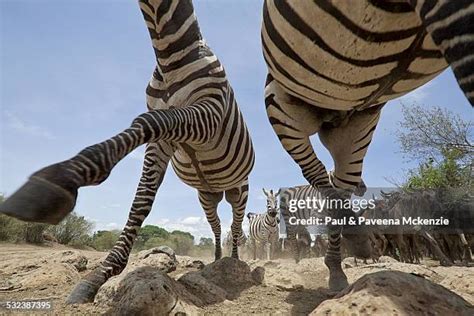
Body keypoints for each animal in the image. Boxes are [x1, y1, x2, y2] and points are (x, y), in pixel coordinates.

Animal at [1, 0, 254, 304]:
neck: (168, 54)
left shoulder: (210, 112)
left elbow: (149, 121)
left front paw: (59, 179)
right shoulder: (162, 140)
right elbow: (141, 200)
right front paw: (100, 275)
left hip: (239, 189)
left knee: (236, 224)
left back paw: (234, 261)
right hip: (207, 195)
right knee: (216, 224)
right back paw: (217, 259)